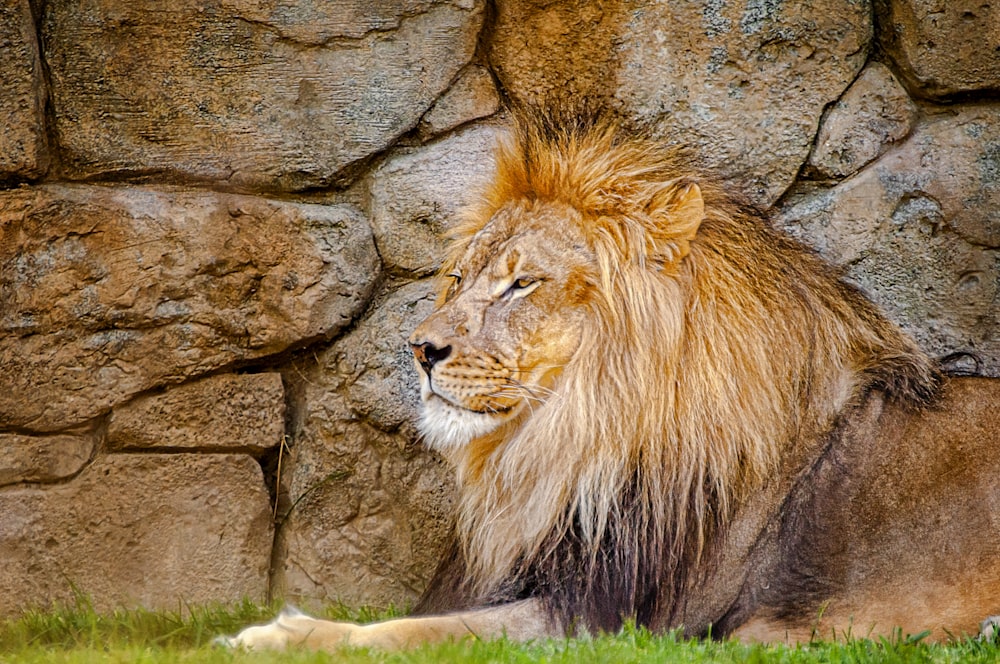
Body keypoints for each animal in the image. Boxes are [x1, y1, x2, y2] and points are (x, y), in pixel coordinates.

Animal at [227, 113, 1000, 648]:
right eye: (458, 278)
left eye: (521, 284)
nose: (420, 349)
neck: (576, 437)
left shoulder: (612, 617)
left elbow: (421, 633)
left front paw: (278, 636)